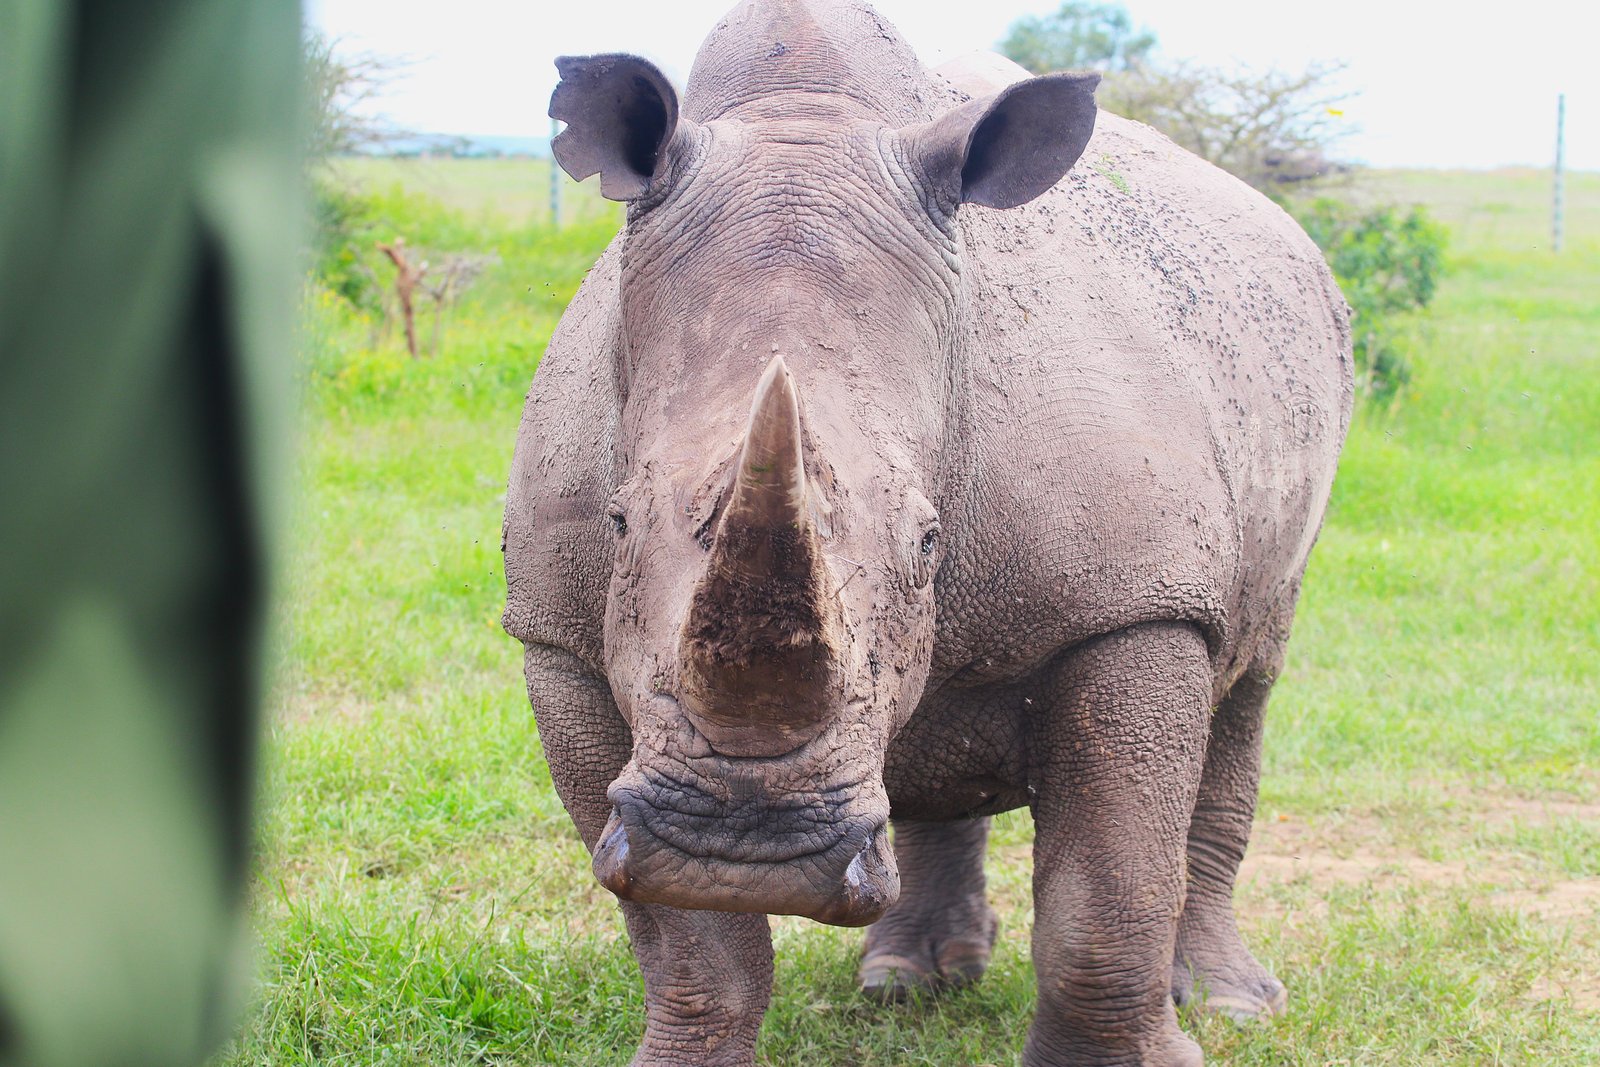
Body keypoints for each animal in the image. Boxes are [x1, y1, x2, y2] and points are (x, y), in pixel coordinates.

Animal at [502, 1, 1351, 1062]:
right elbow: (691, 949)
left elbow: (1107, 896)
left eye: (929, 541)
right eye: (617, 521)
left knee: (1251, 678)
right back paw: (910, 983)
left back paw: (1231, 1003)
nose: (746, 847)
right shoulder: (558, 634)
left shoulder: (1136, 600)